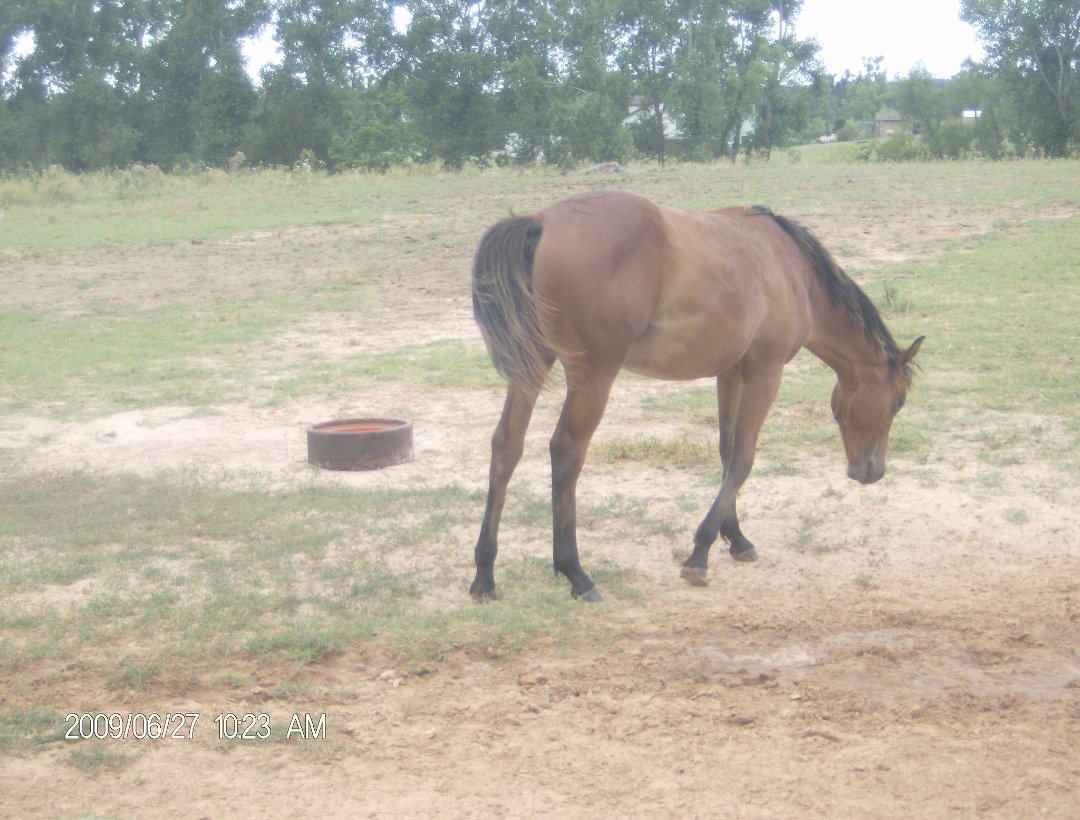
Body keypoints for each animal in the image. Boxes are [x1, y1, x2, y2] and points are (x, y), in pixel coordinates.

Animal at [470, 190, 923, 602]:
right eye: (898, 402)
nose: (872, 471)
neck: (795, 272)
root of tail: (540, 221)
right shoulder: (765, 373)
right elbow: (743, 459)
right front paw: (700, 553)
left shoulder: (731, 374)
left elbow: (727, 451)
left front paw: (736, 538)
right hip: (593, 376)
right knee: (566, 452)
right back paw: (576, 573)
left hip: (532, 366)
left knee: (506, 447)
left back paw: (485, 575)